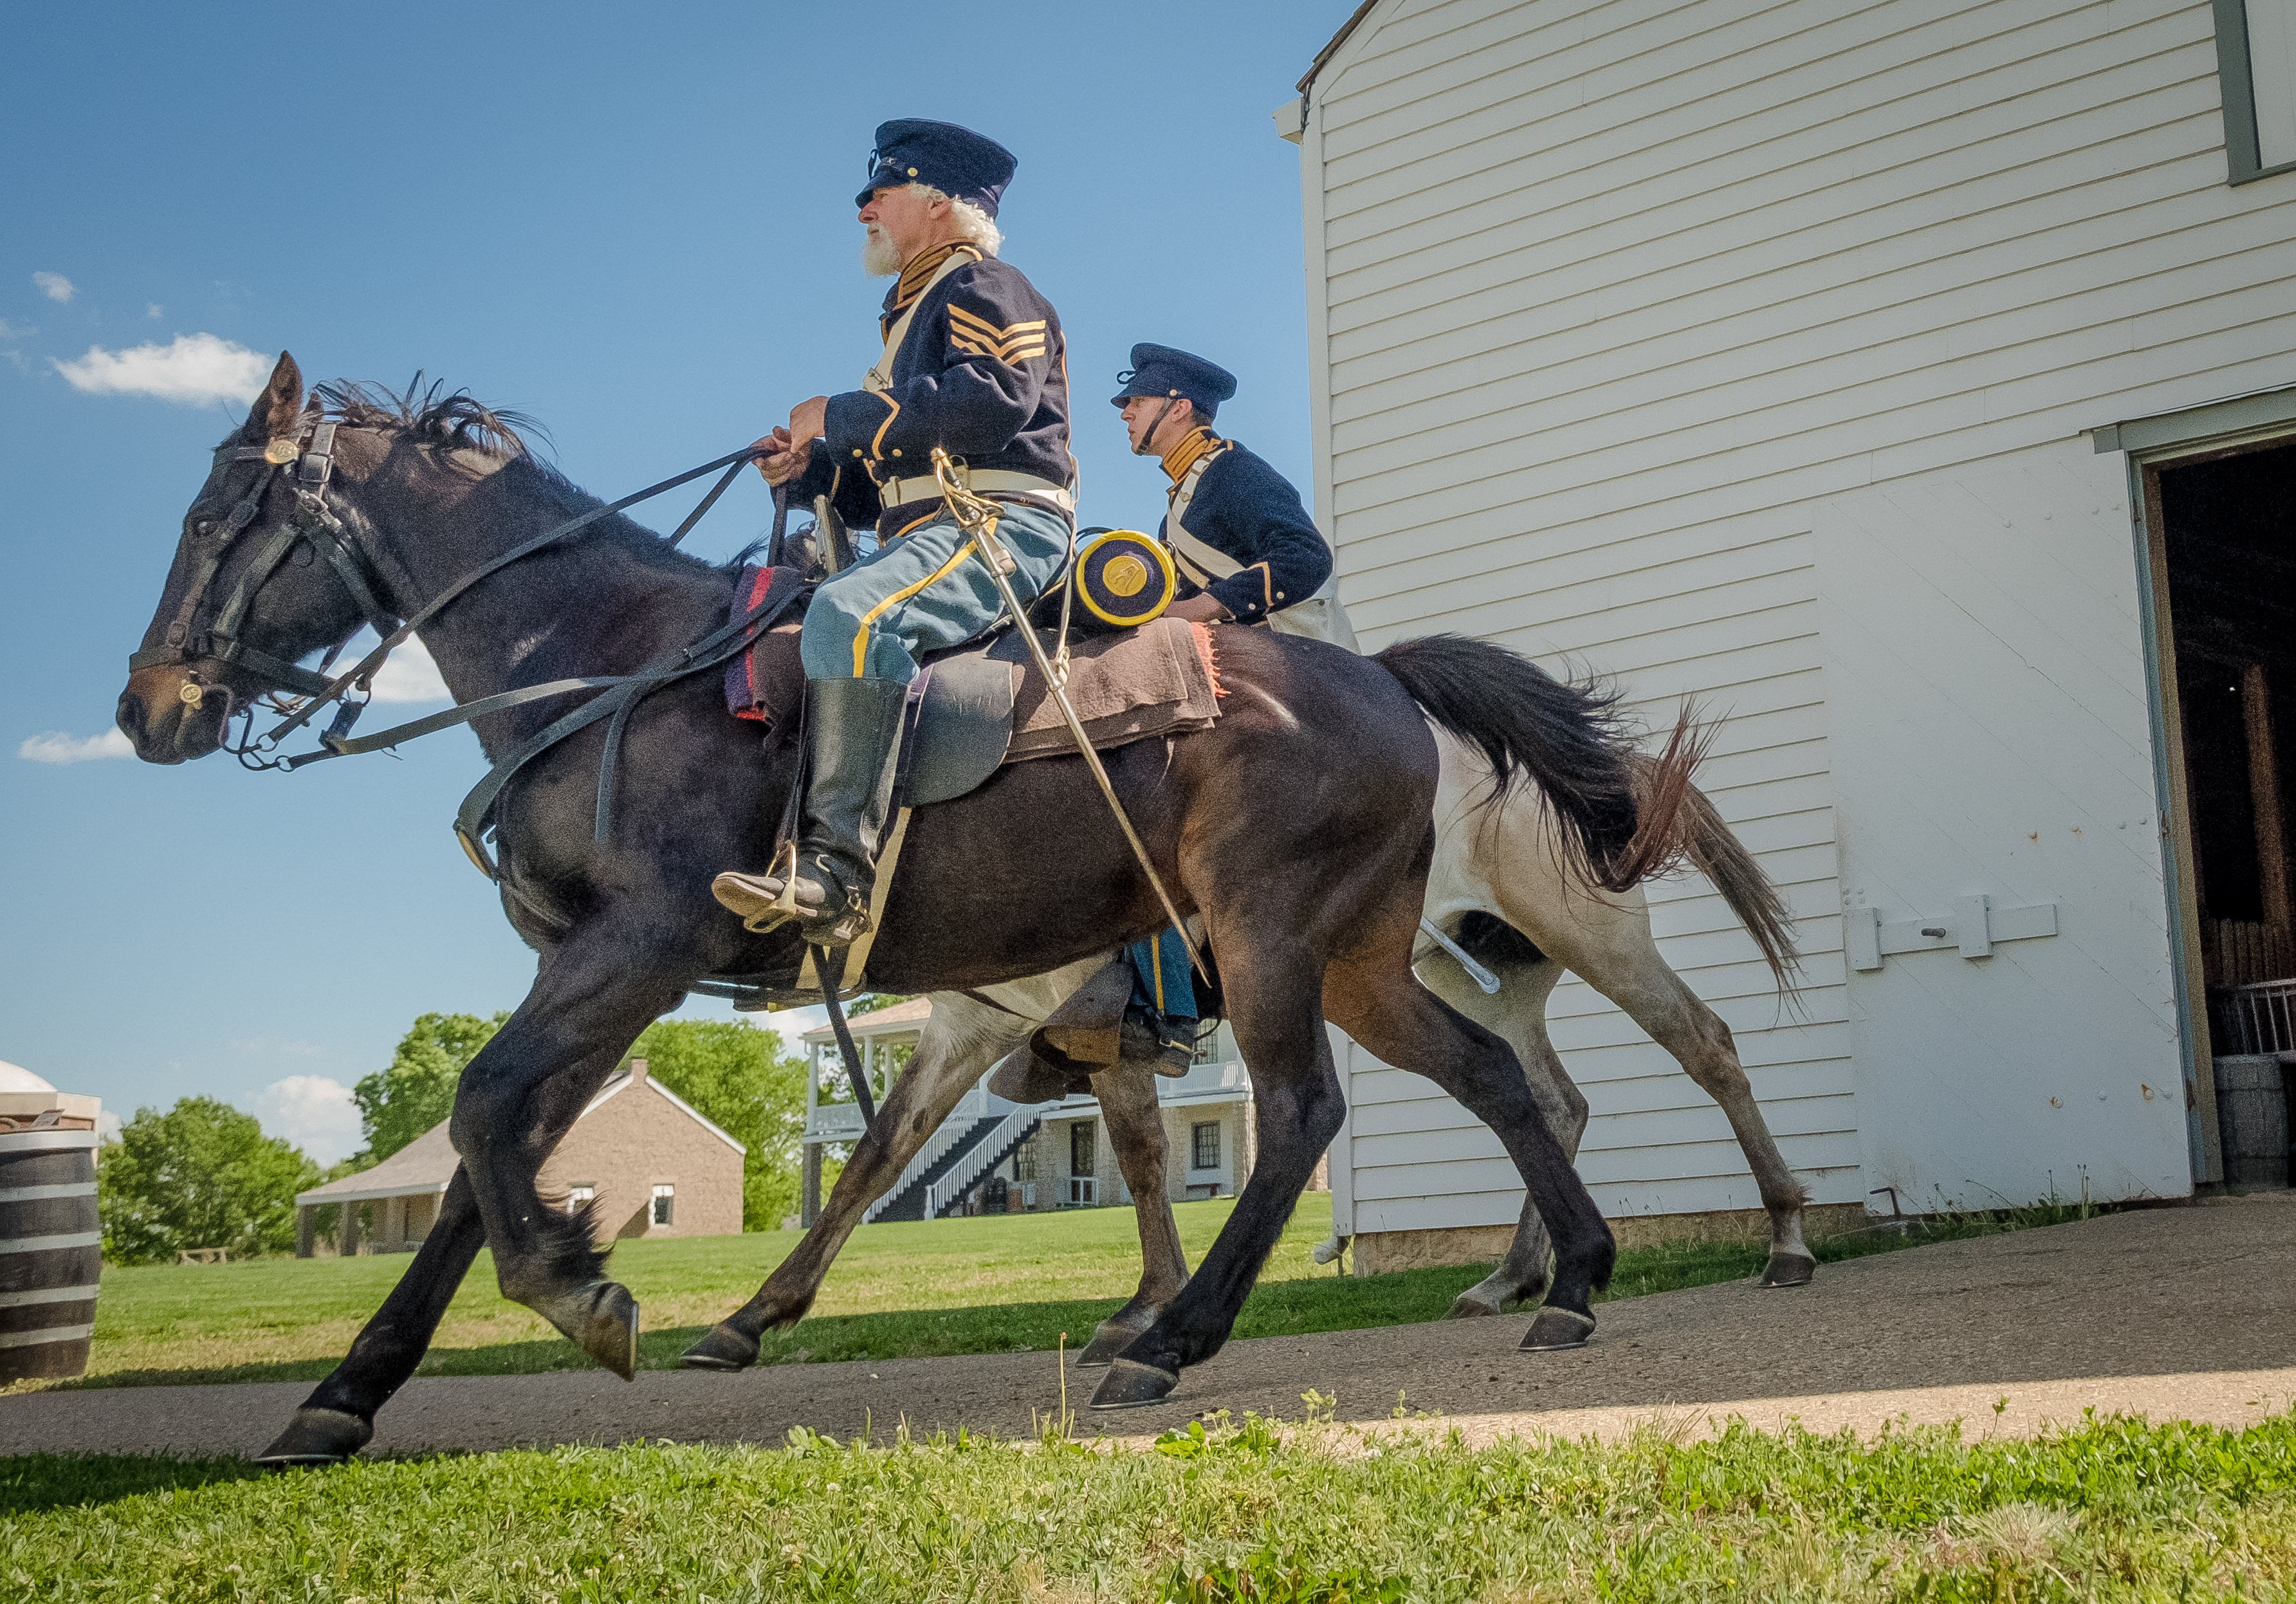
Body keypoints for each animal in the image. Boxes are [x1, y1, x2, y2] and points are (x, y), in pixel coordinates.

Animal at [116, 358, 1699, 1459]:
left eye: (208, 516)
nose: (145, 709)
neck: (609, 661)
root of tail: (1382, 680)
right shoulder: (608, 966)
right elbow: (486, 1150)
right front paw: (345, 1392)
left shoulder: (639, 945)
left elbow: (488, 1103)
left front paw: (584, 1294)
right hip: (1357, 959)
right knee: (1491, 1073)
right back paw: (1568, 1282)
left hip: (1268, 939)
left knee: (1306, 1111)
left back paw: (1178, 1340)